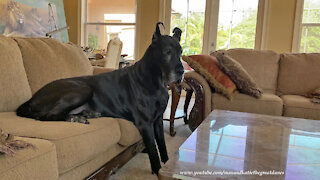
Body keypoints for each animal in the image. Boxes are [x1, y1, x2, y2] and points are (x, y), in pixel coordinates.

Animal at [16, 22, 182, 174]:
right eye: (167, 52)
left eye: (180, 52)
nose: (181, 71)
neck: (156, 80)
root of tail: (31, 99)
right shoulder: (145, 123)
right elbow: (153, 150)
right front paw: (158, 170)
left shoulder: (158, 120)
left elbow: (162, 145)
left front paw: (167, 164)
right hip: (82, 89)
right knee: (46, 116)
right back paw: (75, 118)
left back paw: (86, 114)